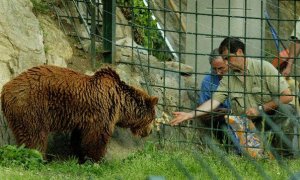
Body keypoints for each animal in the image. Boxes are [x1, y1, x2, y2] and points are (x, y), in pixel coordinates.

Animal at [0, 64, 159, 163]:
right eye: (153, 118)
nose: (150, 131)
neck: (121, 102)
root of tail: (5, 89)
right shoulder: (103, 111)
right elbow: (97, 137)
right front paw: (97, 160)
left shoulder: (84, 118)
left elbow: (80, 137)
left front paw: (79, 156)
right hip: (31, 106)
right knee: (35, 135)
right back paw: (39, 157)